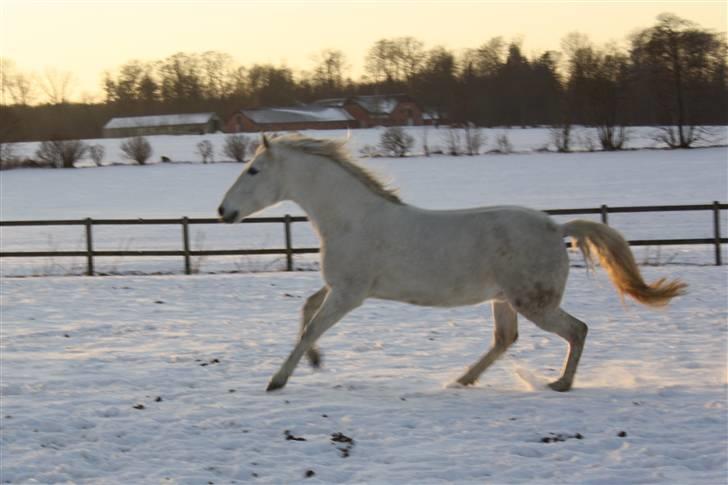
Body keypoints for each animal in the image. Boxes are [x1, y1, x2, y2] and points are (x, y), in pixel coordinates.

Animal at [218, 134, 688, 392]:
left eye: (254, 171)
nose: (224, 211)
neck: (351, 219)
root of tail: (557, 228)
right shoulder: (341, 288)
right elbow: (307, 310)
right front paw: (315, 361)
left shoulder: (350, 293)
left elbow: (312, 325)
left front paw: (277, 380)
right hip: (504, 300)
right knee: (505, 339)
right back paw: (463, 380)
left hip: (534, 303)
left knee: (577, 330)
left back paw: (560, 383)